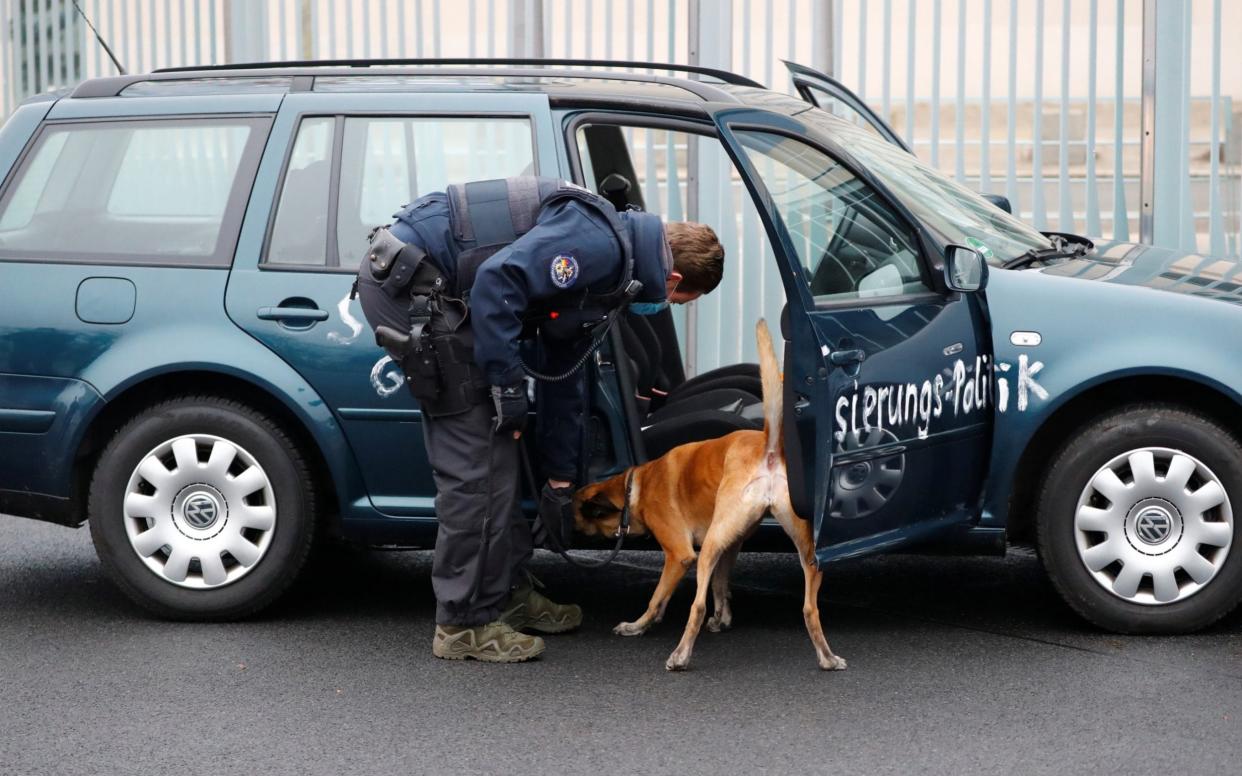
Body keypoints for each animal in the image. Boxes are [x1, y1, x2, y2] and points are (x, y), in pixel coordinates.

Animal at [576, 317, 849, 670]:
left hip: (707, 550)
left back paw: (680, 655)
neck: (637, 483)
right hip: (802, 551)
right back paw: (827, 657)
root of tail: (768, 446)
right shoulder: (730, 545)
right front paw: (723, 618)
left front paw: (638, 626)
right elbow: (720, 586)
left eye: (581, 513)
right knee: (809, 609)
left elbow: (657, 598)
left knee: (696, 607)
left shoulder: (680, 555)